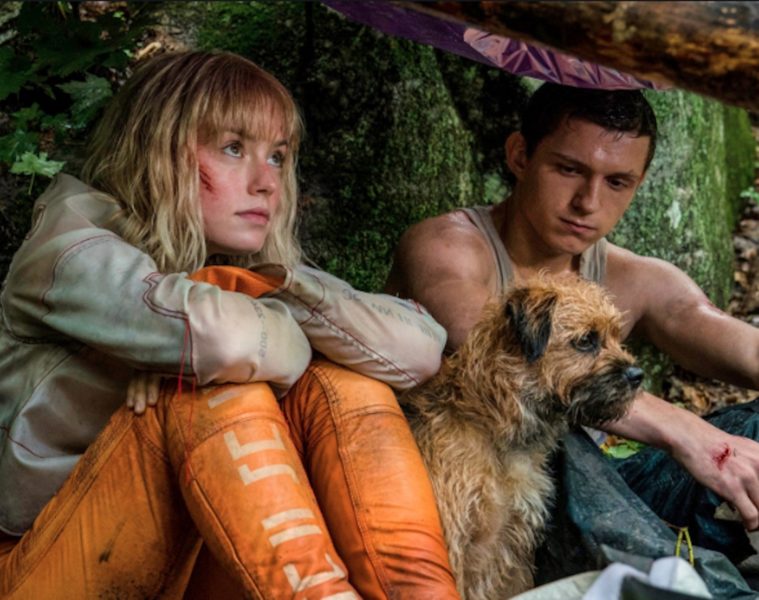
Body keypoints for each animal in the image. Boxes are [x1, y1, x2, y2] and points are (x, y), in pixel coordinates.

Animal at [400, 275, 643, 599]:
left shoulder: (515, 545)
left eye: (617, 336)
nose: (637, 375)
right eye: (586, 340)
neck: (493, 425)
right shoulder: (455, 541)